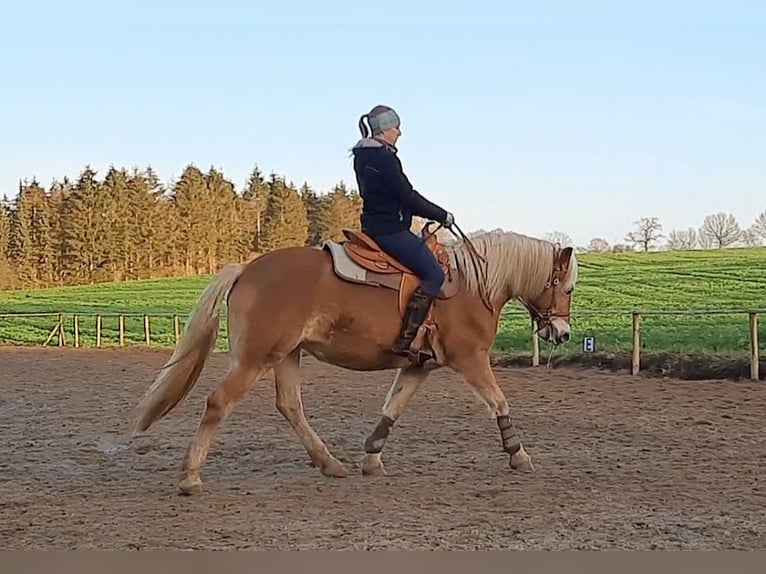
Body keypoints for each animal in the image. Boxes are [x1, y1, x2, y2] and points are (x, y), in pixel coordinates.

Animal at [132, 224, 580, 496]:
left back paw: (329, 463)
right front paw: (518, 454)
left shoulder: (418, 365)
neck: (474, 285)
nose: (562, 333)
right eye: (568, 287)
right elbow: (499, 402)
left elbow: (392, 408)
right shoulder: (469, 359)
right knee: (218, 403)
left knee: (289, 406)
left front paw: (372, 457)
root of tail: (246, 270)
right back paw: (191, 477)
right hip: (255, 358)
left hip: (286, 354)